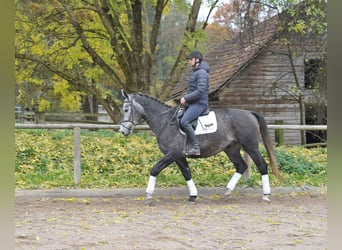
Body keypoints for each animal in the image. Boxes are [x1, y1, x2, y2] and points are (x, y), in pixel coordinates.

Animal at [119, 91, 282, 204]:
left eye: (126, 110)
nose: (123, 131)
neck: (165, 122)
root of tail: (249, 112)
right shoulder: (179, 157)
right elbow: (187, 173)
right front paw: (192, 196)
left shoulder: (172, 154)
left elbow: (154, 169)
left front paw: (148, 195)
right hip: (231, 149)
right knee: (241, 166)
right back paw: (228, 191)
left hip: (250, 146)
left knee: (262, 165)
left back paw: (265, 195)